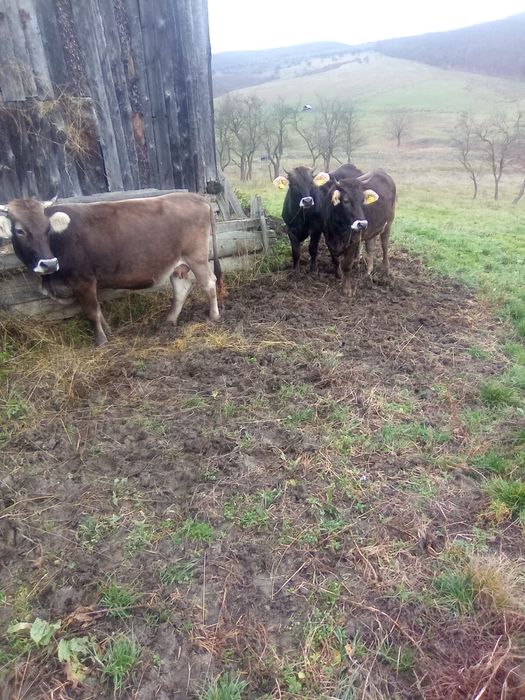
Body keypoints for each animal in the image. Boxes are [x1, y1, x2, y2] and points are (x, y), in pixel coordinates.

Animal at [0, 193, 223, 347]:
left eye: (48, 229)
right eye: (19, 230)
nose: (49, 263)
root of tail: (194, 196)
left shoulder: (83, 280)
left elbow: (91, 311)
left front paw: (100, 341)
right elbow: (98, 311)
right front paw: (108, 332)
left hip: (196, 256)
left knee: (208, 282)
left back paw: (214, 316)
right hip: (177, 263)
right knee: (181, 287)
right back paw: (169, 320)